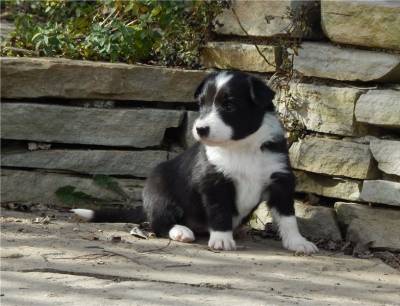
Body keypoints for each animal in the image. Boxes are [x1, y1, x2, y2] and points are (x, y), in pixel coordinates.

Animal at [71, 71, 316, 253]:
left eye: (229, 105)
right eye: (202, 104)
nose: (200, 129)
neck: (241, 147)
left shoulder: (280, 178)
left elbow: (288, 216)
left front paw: (298, 242)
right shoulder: (214, 182)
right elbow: (219, 211)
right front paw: (222, 239)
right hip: (160, 192)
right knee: (159, 223)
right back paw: (181, 231)